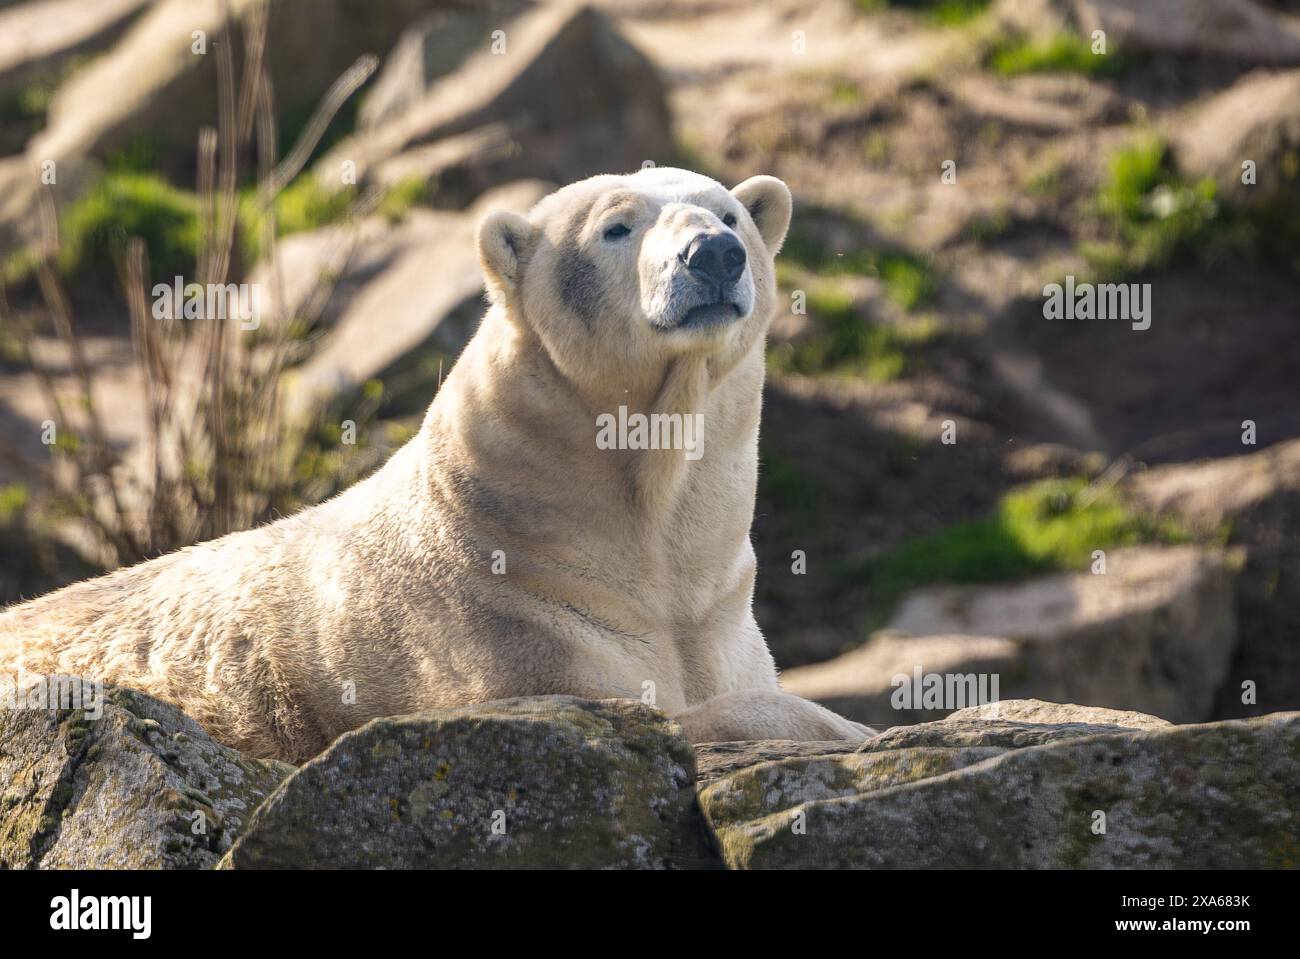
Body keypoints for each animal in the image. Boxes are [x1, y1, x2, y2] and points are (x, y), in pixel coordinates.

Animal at [2, 167, 873, 758]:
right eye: (616, 228)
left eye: (732, 214)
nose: (714, 254)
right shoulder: (503, 630)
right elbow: (643, 713)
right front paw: (849, 724)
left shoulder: (716, 615)